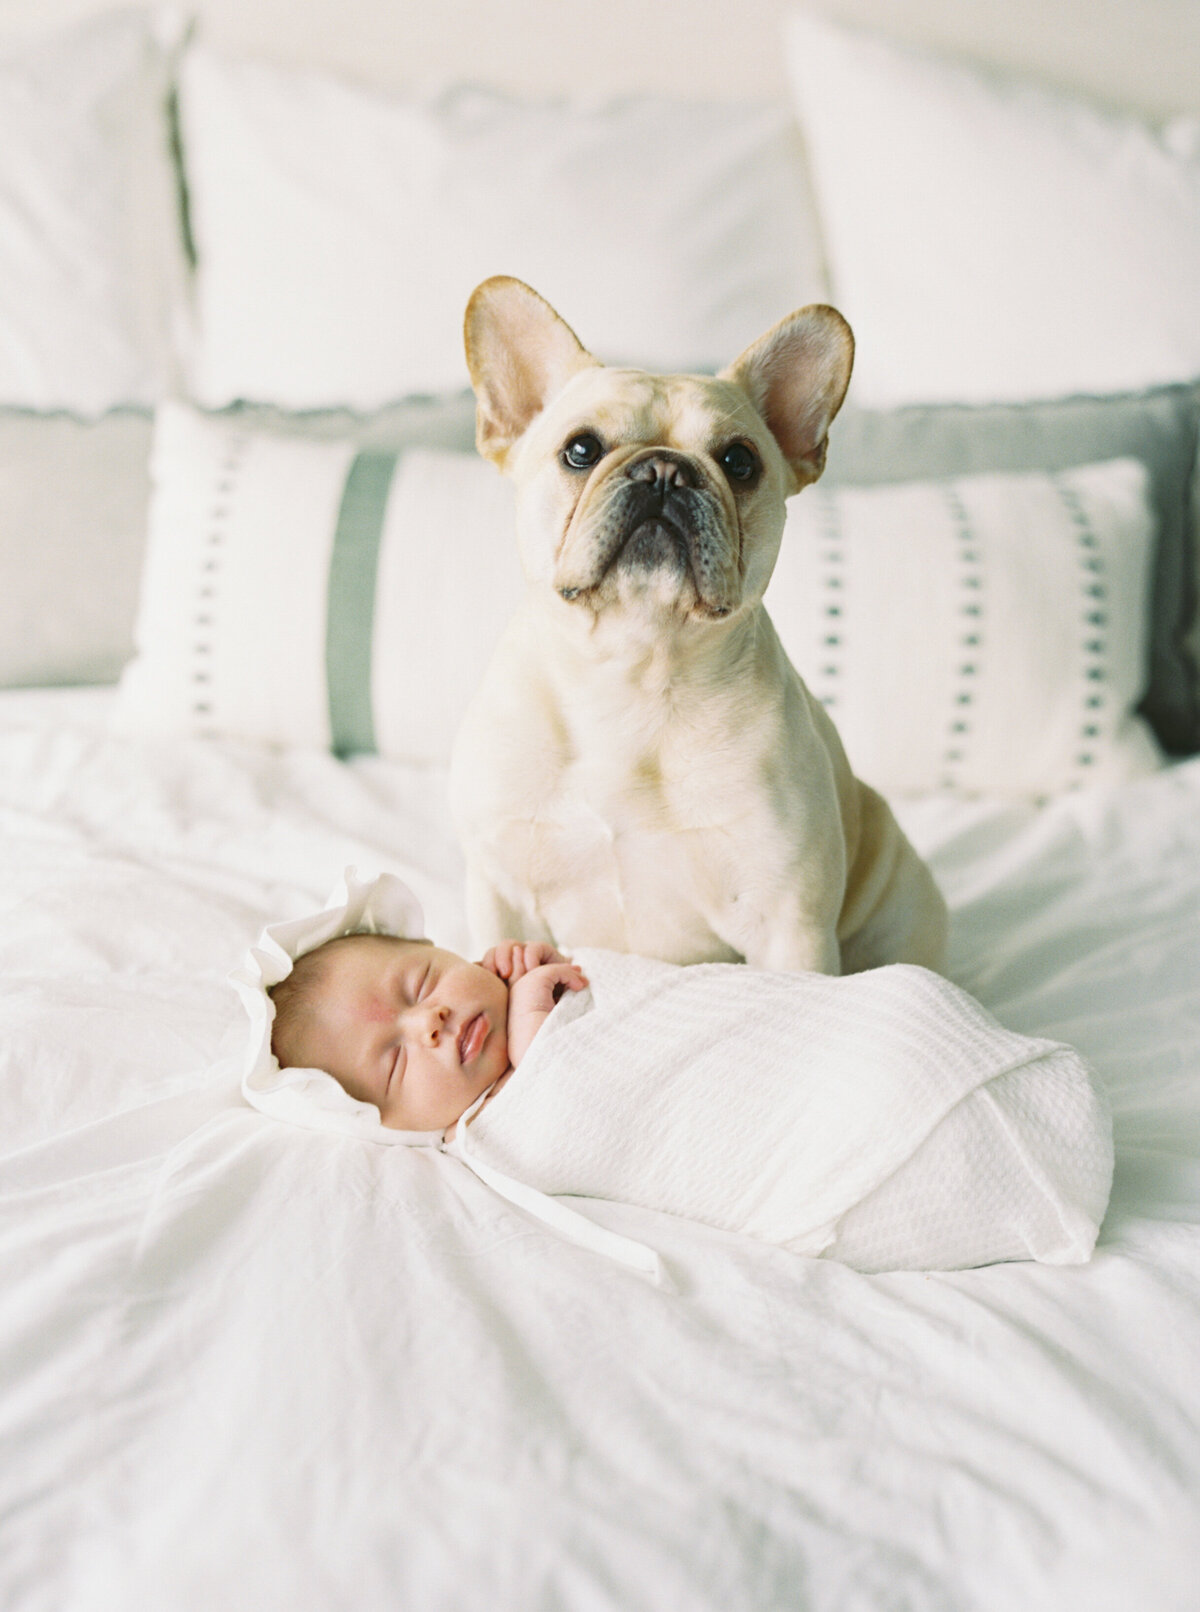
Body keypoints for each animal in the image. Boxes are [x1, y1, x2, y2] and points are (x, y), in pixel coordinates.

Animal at [451, 278, 948, 973]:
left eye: (739, 462)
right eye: (580, 450)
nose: (664, 470)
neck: (631, 670)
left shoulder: (789, 925)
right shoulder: (502, 893)